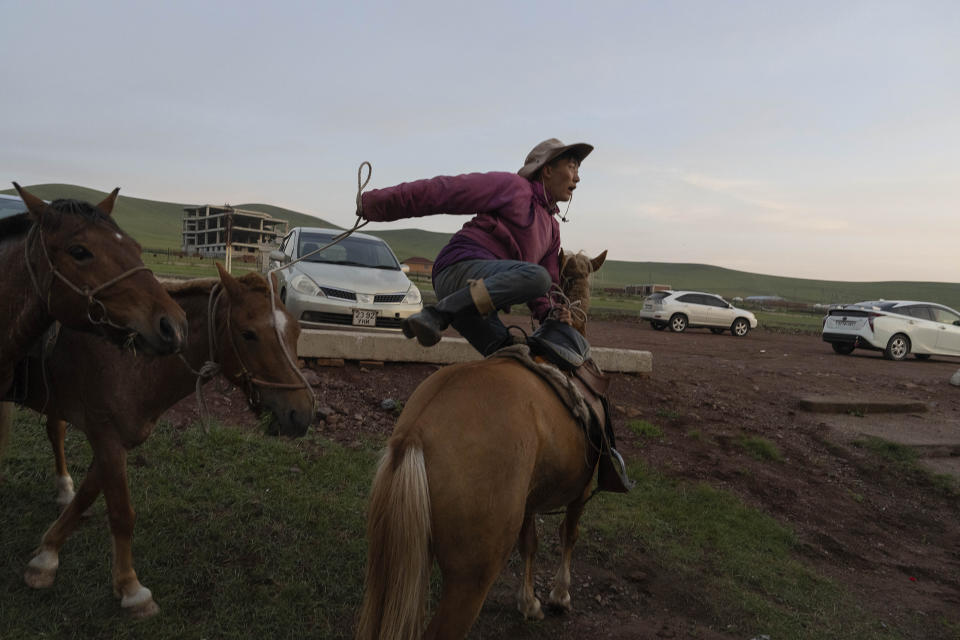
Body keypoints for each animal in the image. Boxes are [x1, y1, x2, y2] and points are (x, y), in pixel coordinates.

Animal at [7, 262, 316, 616]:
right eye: (248, 334)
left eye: (296, 332)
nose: (301, 414)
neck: (130, 359)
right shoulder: (107, 438)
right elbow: (121, 514)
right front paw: (131, 588)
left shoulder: (119, 440)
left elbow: (87, 494)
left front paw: (47, 554)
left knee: (55, 430)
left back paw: (63, 488)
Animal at [356, 249, 612, 640]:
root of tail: (415, 432)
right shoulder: (581, 491)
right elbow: (569, 534)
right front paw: (559, 596)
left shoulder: (528, 499)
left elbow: (529, 542)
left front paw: (529, 602)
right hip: (471, 577)